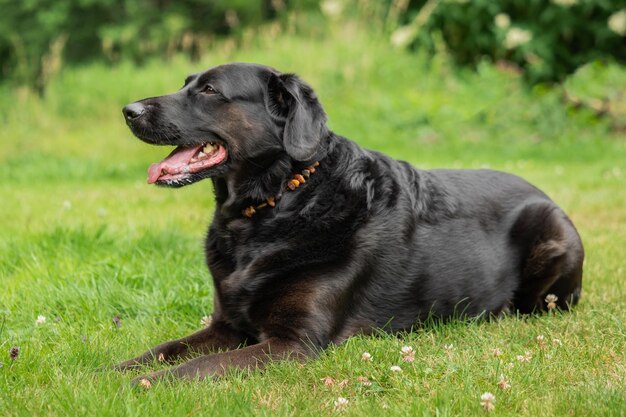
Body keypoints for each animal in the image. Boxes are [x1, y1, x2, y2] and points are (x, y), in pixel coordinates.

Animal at [117, 62, 580, 380]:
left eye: (211, 90)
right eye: (185, 83)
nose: (128, 109)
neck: (277, 203)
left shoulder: (292, 343)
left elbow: (192, 368)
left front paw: (137, 387)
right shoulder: (226, 325)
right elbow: (164, 350)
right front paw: (110, 373)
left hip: (554, 241)